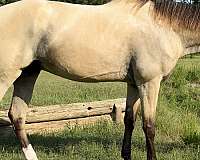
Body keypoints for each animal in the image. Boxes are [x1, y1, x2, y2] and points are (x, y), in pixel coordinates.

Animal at [0, 0, 198, 160]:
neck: (161, 27)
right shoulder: (149, 83)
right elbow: (149, 126)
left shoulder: (134, 84)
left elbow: (130, 121)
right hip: (6, 76)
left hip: (28, 73)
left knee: (17, 116)